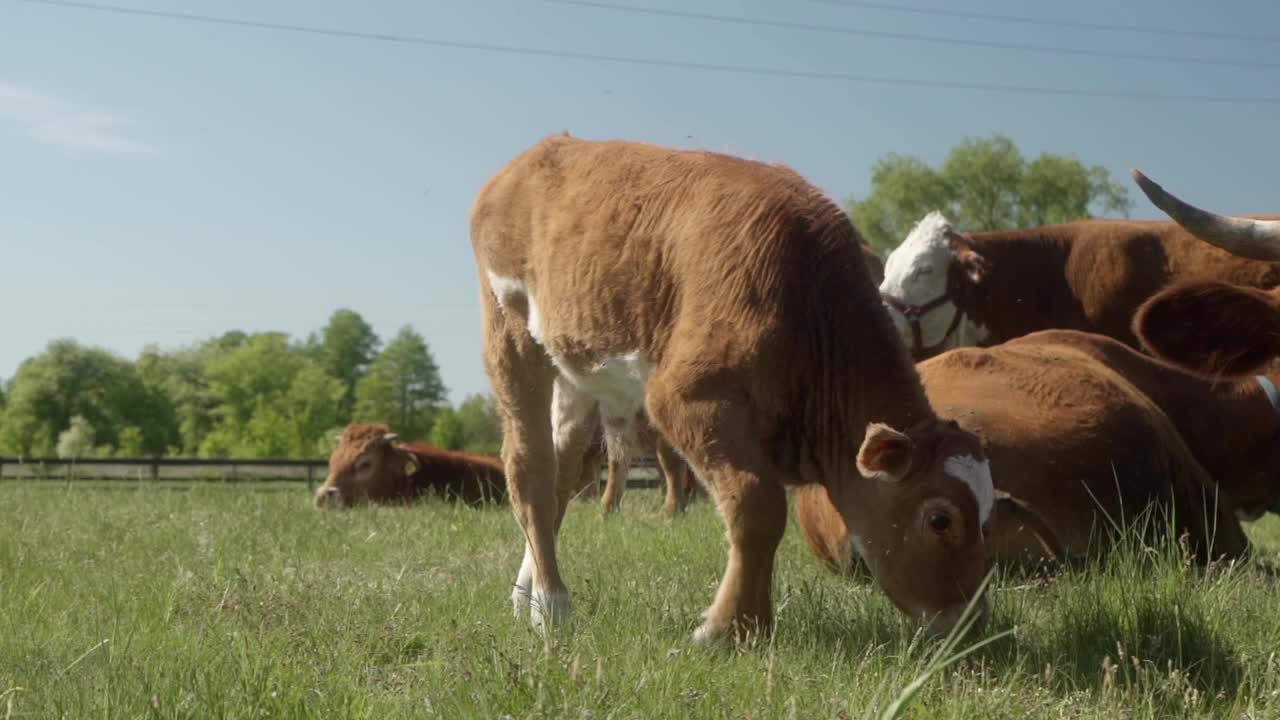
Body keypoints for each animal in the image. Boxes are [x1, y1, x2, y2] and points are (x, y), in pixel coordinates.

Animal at [471, 134, 998, 638]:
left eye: (990, 513)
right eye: (940, 519)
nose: (971, 620)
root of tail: (541, 153)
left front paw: (747, 624)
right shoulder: (687, 397)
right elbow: (758, 505)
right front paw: (731, 627)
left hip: (574, 367)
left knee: (560, 475)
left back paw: (527, 596)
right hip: (510, 329)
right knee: (529, 467)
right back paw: (553, 607)